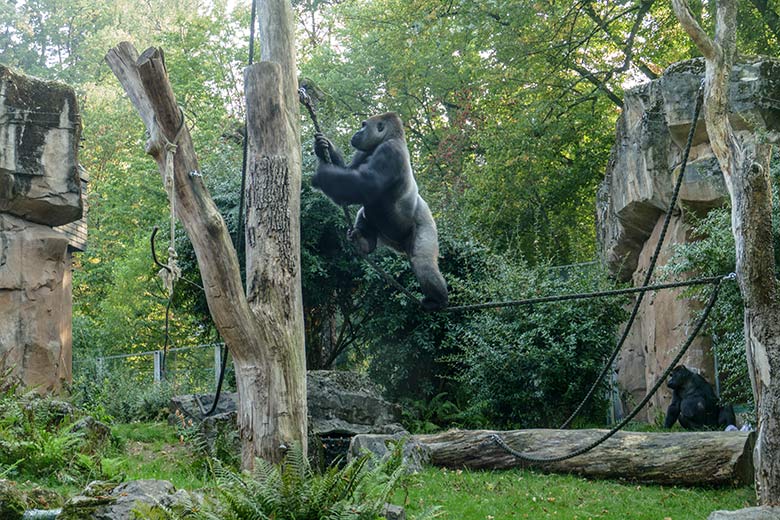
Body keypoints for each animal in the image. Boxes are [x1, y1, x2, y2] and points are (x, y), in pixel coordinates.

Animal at [310, 112, 448, 310]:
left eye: (363, 125)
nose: (356, 133)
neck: (391, 137)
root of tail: (399, 246)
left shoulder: (390, 151)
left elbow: (366, 184)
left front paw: (322, 175)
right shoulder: (363, 151)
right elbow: (348, 174)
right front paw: (323, 147)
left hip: (427, 226)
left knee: (423, 263)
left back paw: (438, 300)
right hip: (387, 238)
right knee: (364, 213)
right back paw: (365, 242)